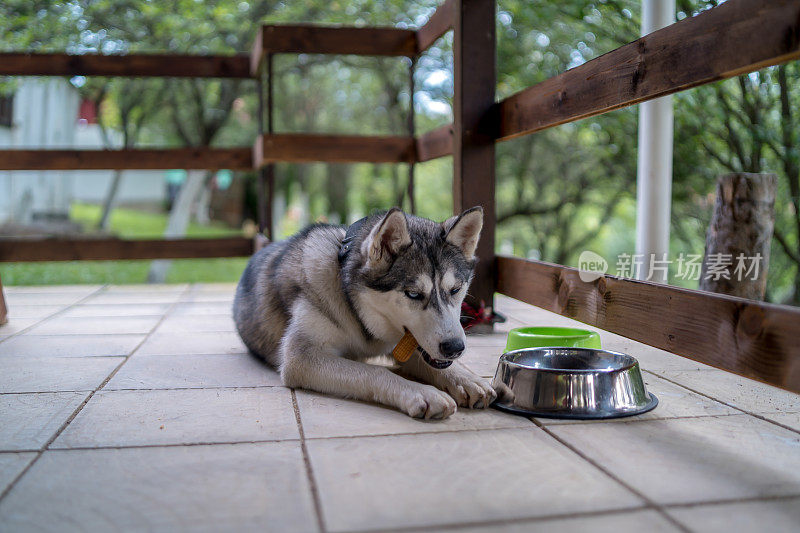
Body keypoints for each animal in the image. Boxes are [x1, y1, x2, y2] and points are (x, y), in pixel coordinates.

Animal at [228, 206, 500, 418]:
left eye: (455, 289)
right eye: (413, 294)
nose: (455, 347)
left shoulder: (403, 343)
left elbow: (426, 361)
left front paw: (464, 378)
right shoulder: (300, 358)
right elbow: (376, 371)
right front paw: (421, 392)